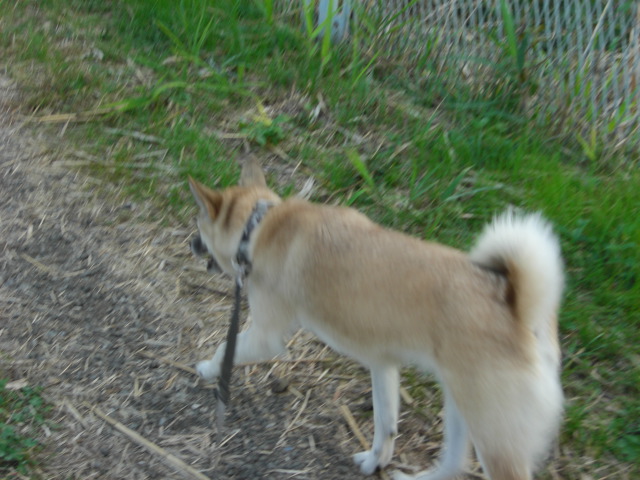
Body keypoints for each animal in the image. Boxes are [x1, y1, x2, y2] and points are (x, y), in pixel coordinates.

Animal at [188, 160, 564, 480]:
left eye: (199, 224)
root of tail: (518, 309)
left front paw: (207, 369)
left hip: (493, 433)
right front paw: (375, 461)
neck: (260, 226)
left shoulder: (264, 337)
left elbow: (224, 348)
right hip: (462, 407)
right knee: (454, 462)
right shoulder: (383, 365)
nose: (191, 243)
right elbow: (386, 424)